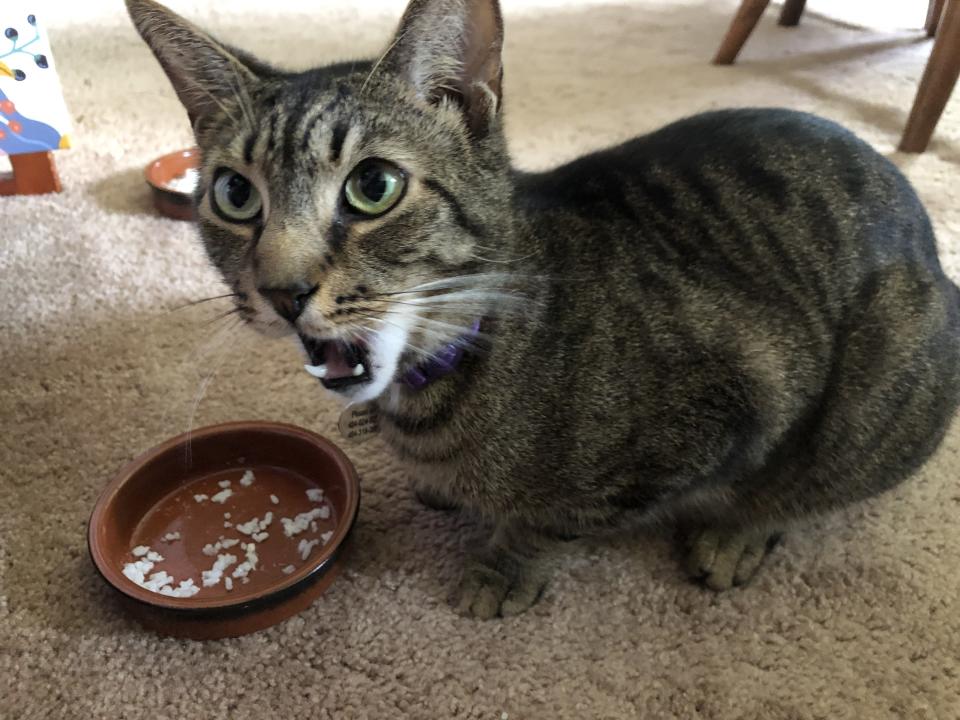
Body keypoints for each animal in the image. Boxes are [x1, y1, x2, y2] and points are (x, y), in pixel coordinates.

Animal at [127, 0, 960, 620]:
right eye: (235, 194)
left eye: (373, 187)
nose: (282, 291)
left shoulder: (734, 407)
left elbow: (552, 520)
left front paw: (505, 566)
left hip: (888, 372)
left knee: (817, 483)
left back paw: (737, 534)